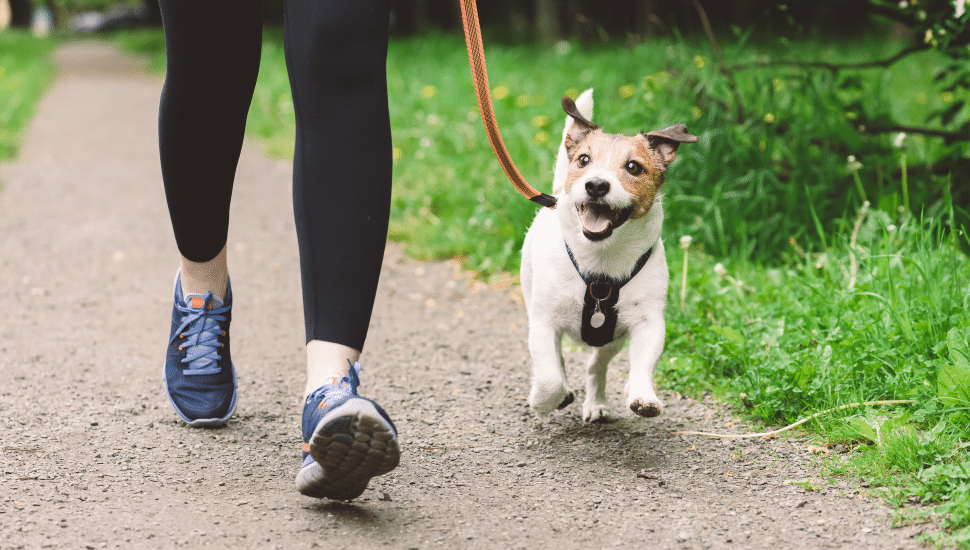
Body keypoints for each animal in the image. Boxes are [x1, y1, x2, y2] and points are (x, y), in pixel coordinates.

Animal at [520, 89, 696, 422]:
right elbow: (550, 377)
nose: (597, 184)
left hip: (611, 340)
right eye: (584, 160)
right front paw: (542, 401)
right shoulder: (543, 322)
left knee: (596, 366)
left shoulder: (647, 323)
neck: (601, 265)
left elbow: (643, 363)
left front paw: (643, 395)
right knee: (557, 362)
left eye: (634, 167)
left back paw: (596, 403)